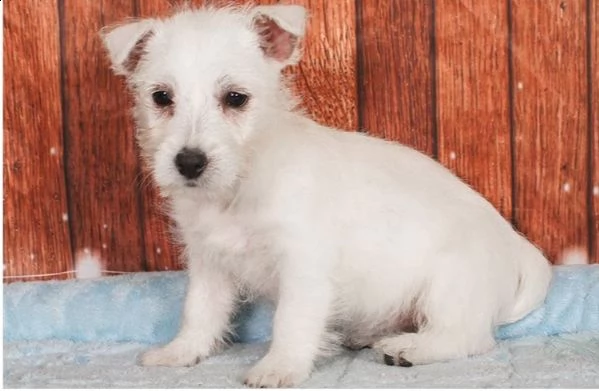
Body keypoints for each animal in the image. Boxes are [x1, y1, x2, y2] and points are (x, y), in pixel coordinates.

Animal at [99, 5, 552, 388]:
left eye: (235, 98)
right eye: (161, 97)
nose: (189, 162)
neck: (241, 186)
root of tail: (516, 244)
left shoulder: (303, 266)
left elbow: (290, 320)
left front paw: (278, 367)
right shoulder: (209, 263)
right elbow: (199, 311)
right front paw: (180, 353)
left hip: (448, 285)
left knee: (469, 336)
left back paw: (410, 348)